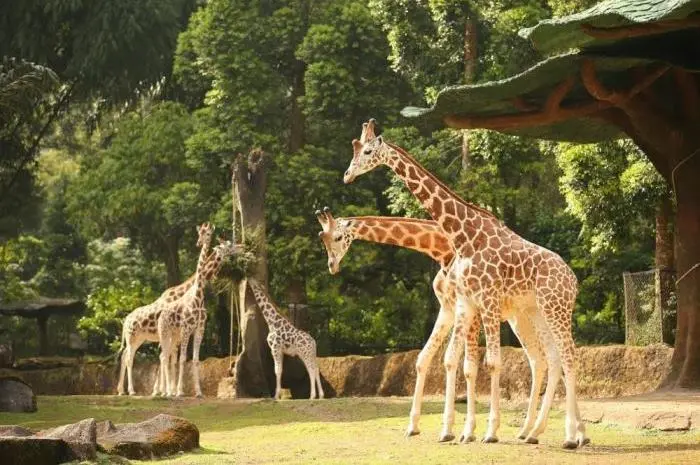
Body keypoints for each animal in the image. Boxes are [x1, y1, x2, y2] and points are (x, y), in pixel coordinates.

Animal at [116, 222, 215, 396]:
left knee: (131, 356)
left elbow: (193, 359)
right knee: (131, 358)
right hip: (136, 337)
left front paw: (197, 392)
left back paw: (124, 390)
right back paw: (133, 391)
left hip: (142, 338)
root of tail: (125, 320)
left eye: (208, 233)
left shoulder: (198, 330)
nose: (198, 243)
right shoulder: (185, 329)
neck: (197, 296)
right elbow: (180, 359)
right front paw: (176, 391)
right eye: (200, 233)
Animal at [314, 208, 556, 442]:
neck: (442, 249)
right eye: (322, 238)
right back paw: (528, 431)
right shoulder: (448, 308)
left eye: (337, 237)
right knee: (540, 360)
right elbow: (426, 358)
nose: (332, 266)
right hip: (521, 318)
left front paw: (462, 431)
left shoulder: (469, 310)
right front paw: (416, 427)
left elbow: (466, 365)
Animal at [342, 119, 588, 450]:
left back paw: (570, 437)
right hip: (537, 312)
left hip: (556, 309)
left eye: (367, 151)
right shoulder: (468, 302)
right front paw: (464, 430)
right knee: (550, 357)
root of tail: (573, 279)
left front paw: (487, 432)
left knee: (569, 356)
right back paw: (535, 431)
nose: (347, 174)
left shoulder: (486, 299)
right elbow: (463, 363)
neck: (464, 235)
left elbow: (491, 363)